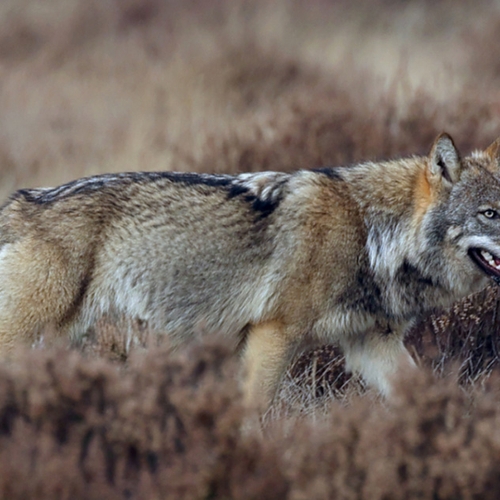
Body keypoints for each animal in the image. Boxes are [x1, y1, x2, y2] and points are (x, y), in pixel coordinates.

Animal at [0, 134, 500, 410]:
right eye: (491, 213)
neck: (371, 231)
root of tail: (19, 203)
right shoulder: (272, 334)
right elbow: (253, 413)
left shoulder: (371, 345)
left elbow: (430, 397)